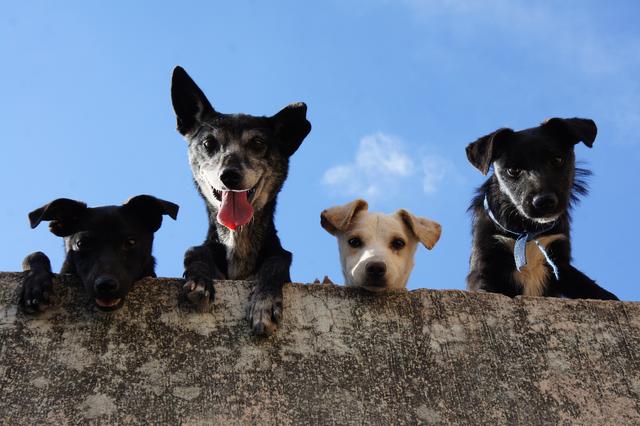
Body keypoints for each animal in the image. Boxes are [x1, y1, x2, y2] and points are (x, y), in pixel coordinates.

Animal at [169, 66, 312, 336]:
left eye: (257, 143)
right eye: (209, 143)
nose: (230, 175)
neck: (238, 241)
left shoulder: (278, 258)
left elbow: (277, 261)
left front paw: (264, 304)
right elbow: (194, 252)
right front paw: (199, 280)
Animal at [468, 118, 616, 302]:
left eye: (557, 160)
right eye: (513, 170)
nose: (544, 201)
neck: (528, 231)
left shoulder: (560, 264)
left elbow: (594, 290)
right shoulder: (485, 262)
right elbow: (484, 288)